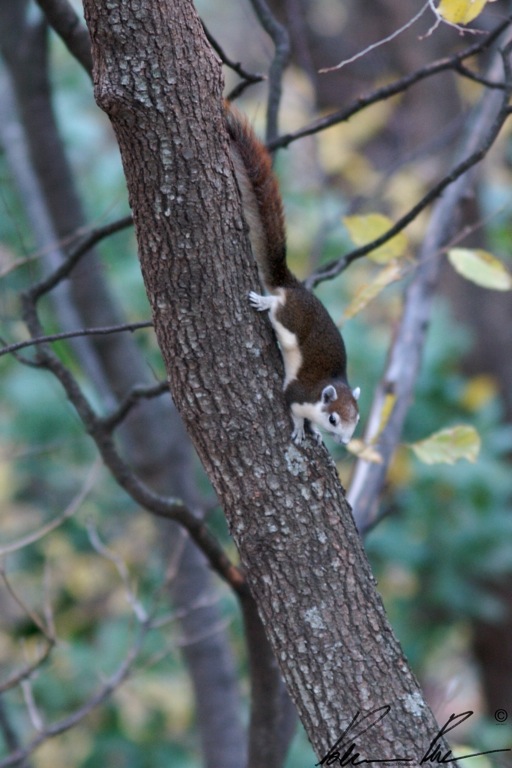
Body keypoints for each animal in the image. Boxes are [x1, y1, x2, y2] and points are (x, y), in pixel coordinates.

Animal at [224, 106, 360, 444]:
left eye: (357, 419)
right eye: (334, 418)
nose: (345, 441)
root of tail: (294, 287)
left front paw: (316, 433)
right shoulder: (298, 395)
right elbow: (295, 411)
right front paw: (301, 429)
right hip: (289, 320)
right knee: (277, 309)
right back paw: (264, 302)